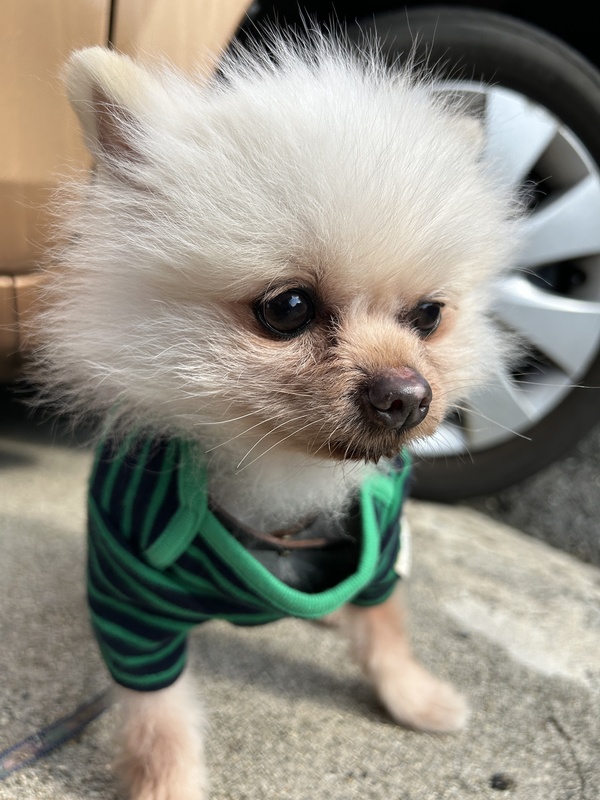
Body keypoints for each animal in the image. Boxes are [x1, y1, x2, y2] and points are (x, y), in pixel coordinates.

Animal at [33, 30, 520, 800]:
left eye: (428, 315)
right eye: (287, 307)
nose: (408, 396)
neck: (284, 483)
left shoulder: (383, 540)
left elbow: (387, 625)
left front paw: (412, 696)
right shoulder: (133, 601)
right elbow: (157, 718)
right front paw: (167, 784)